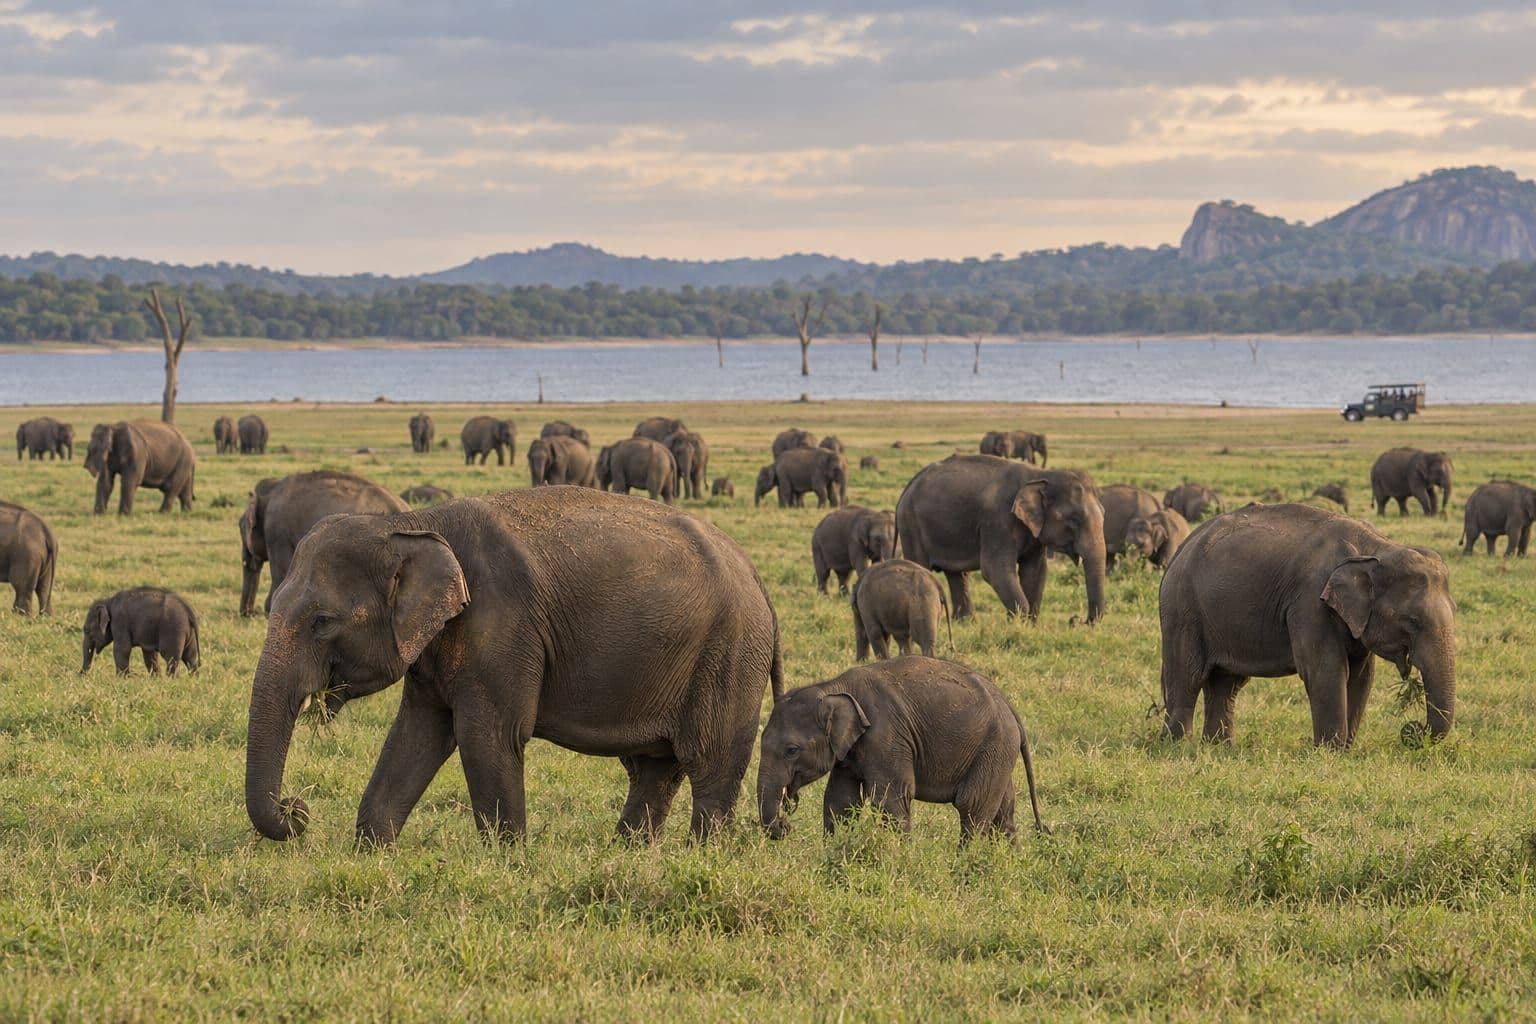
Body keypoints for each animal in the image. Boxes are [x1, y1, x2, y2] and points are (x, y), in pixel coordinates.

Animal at [244, 487, 784, 846]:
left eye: (321, 622)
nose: (298, 808)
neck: (416, 524)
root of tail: (758, 581)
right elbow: (418, 734)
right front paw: (374, 852)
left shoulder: (502, 625)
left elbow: (488, 735)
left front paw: (506, 861)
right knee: (656, 770)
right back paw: (627, 854)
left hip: (729, 655)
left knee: (710, 764)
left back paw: (698, 856)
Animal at [758, 657, 1043, 841]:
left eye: (791, 750)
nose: (785, 825)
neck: (834, 687)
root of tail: (1008, 705)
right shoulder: (848, 754)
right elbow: (842, 801)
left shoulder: (886, 737)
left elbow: (891, 797)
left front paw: (896, 858)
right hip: (997, 752)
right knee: (1003, 813)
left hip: (994, 746)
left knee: (972, 806)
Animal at [896, 455, 1107, 624]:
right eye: (1074, 519)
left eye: (1104, 514)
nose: (1076, 620)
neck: (1039, 475)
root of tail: (908, 486)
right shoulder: (998, 521)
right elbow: (995, 569)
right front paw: (1017, 623)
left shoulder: (1033, 532)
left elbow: (1035, 572)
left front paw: (1030, 625)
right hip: (911, 526)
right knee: (921, 565)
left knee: (956, 574)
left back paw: (965, 622)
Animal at [1158, 503, 1456, 747]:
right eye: (1413, 621)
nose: (1412, 729)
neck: (1376, 549)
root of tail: (1181, 549)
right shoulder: (1310, 603)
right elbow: (1326, 669)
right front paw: (1329, 752)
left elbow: (1361, 675)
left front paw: (1346, 750)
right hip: (1183, 610)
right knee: (1187, 677)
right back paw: (1179, 748)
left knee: (1226, 684)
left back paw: (1218, 748)